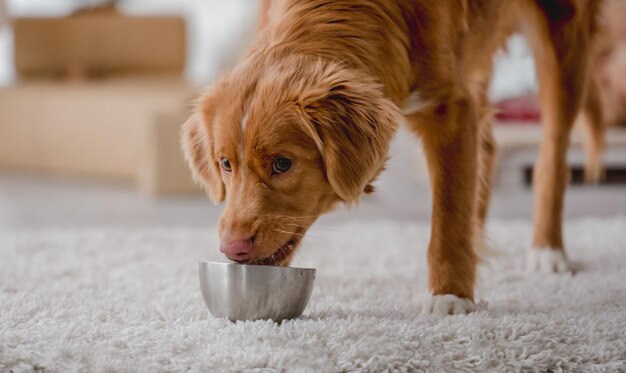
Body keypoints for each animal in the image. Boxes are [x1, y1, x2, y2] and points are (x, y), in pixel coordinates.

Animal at [183, 0, 604, 314]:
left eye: (282, 164)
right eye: (225, 164)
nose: (232, 248)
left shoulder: (450, 107)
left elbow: (448, 213)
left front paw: (450, 296)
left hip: (563, 37)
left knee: (553, 156)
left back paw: (548, 251)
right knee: (487, 146)